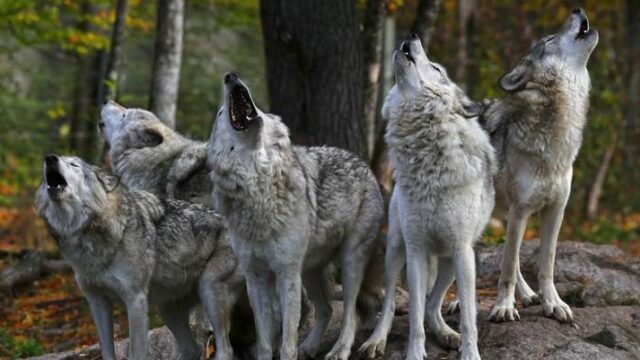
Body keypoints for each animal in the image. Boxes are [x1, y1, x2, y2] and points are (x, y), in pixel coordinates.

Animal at [35, 155, 245, 360]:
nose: (50, 158)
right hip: (168, 309)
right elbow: (107, 351)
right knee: (192, 349)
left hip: (209, 289)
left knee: (225, 349)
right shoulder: (97, 302)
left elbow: (137, 351)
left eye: (74, 164)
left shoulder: (135, 300)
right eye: (54, 160)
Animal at [208, 73, 382, 360]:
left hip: (349, 262)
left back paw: (339, 350)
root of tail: (361, 162)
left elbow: (287, 339)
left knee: (351, 315)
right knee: (327, 310)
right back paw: (310, 347)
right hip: (309, 272)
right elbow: (264, 339)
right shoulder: (256, 278)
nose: (230, 75)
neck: (258, 185)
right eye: (221, 113)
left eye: (261, 109)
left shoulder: (286, 273)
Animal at [360, 34, 496, 360]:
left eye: (436, 68)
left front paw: (470, 353)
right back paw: (376, 341)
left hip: (452, 260)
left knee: (433, 304)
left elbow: (468, 317)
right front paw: (413, 353)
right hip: (396, 250)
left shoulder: (462, 251)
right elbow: (413, 318)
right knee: (392, 304)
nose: (412, 36)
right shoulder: (416, 249)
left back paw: (447, 334)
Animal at [484, 7, 600, 324]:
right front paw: (503, 307)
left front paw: (554, 304)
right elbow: (508, 268)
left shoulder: (554, 210)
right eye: (549, 39)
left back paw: (528, 295)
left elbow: (545, 264)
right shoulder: (521, 210)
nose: (577, 9)